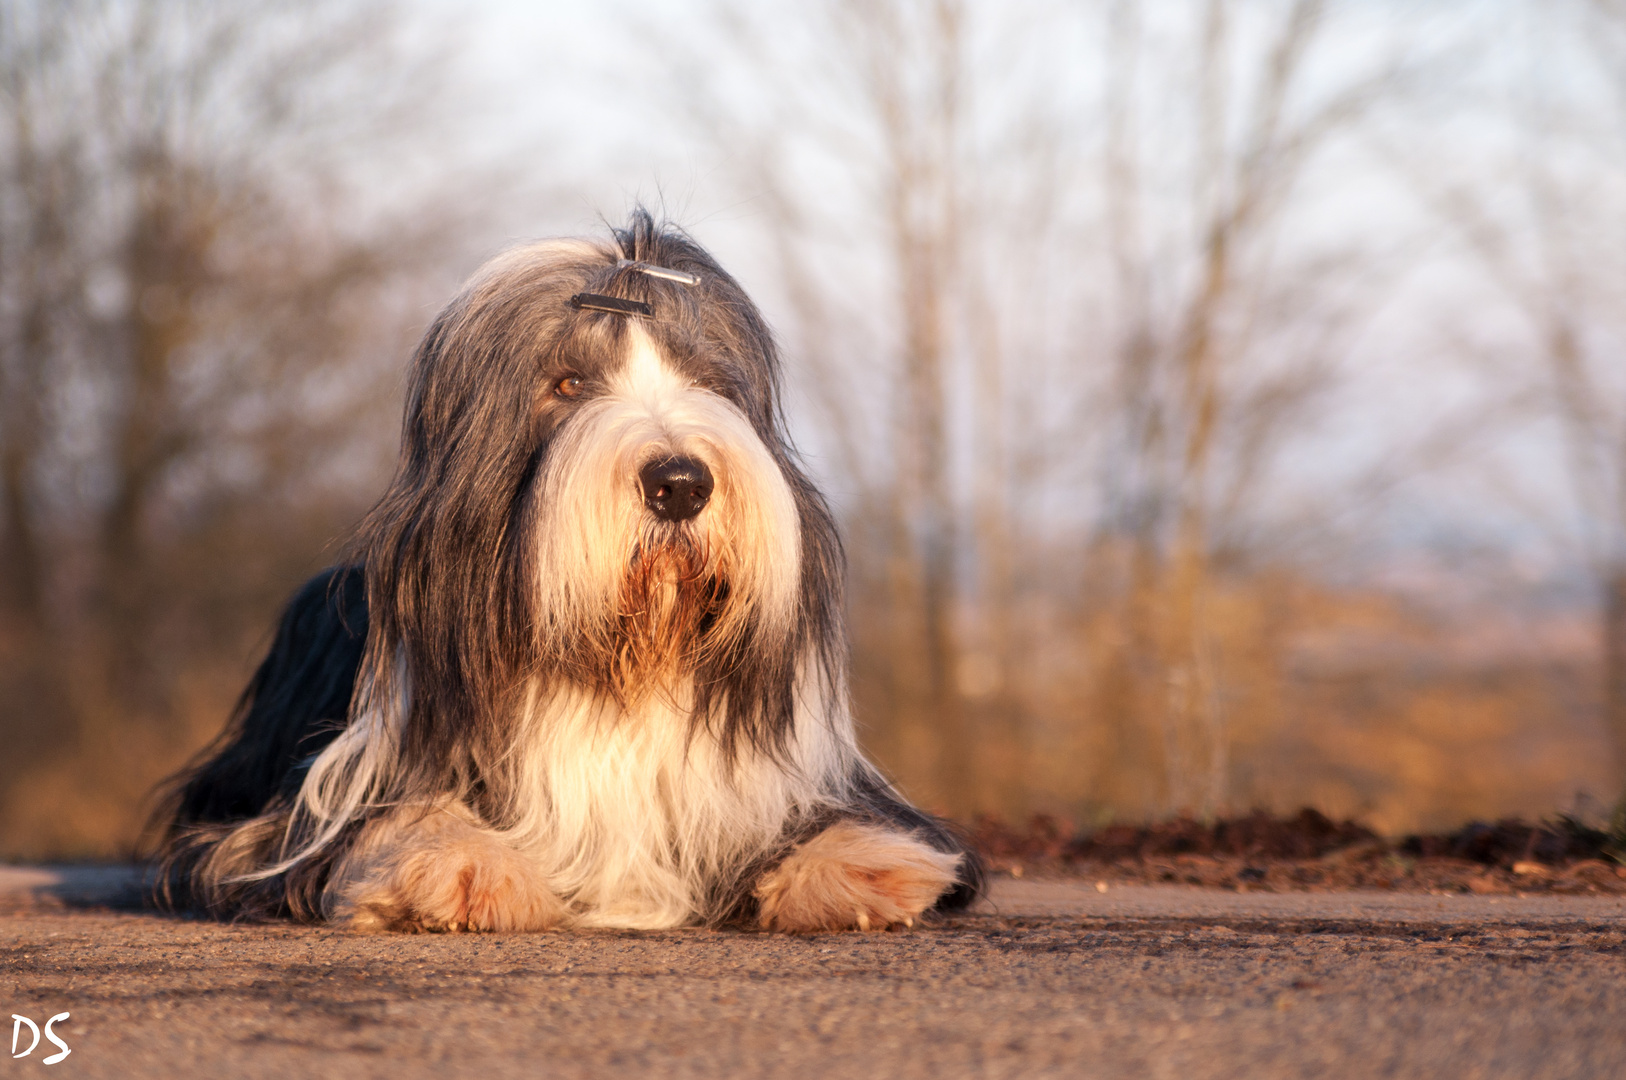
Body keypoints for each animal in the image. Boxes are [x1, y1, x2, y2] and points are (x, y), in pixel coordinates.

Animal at [152, 213, 982, 936]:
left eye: (708, 381)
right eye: (569, 385)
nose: (680, 483)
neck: (625, 663)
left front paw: (857, 862)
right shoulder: (293, 813)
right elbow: (376, 820)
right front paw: (453, 864)